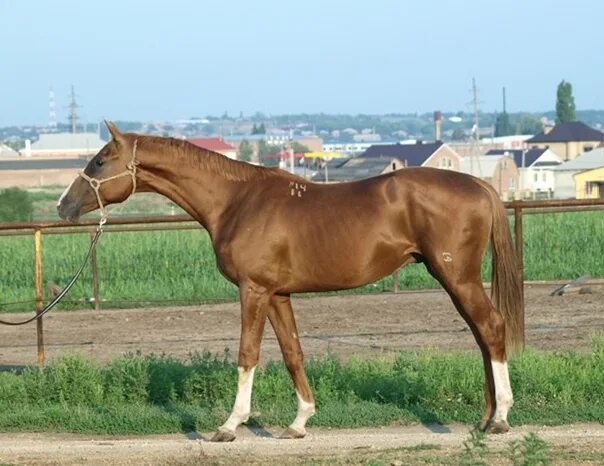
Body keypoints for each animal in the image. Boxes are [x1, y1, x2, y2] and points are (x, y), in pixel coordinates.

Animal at [59, 123, 528, 440]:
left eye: (99, 160)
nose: (64, 206)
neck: (236, 201)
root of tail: (480, 185)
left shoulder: (253, 290)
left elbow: (247, 353)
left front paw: (230, 425)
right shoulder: (278, 294)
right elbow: (292, 353)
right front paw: (300, 421)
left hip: (456, 276)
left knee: (491, 328)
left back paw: (502, 417)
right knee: (482, 336)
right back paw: (486, 417)